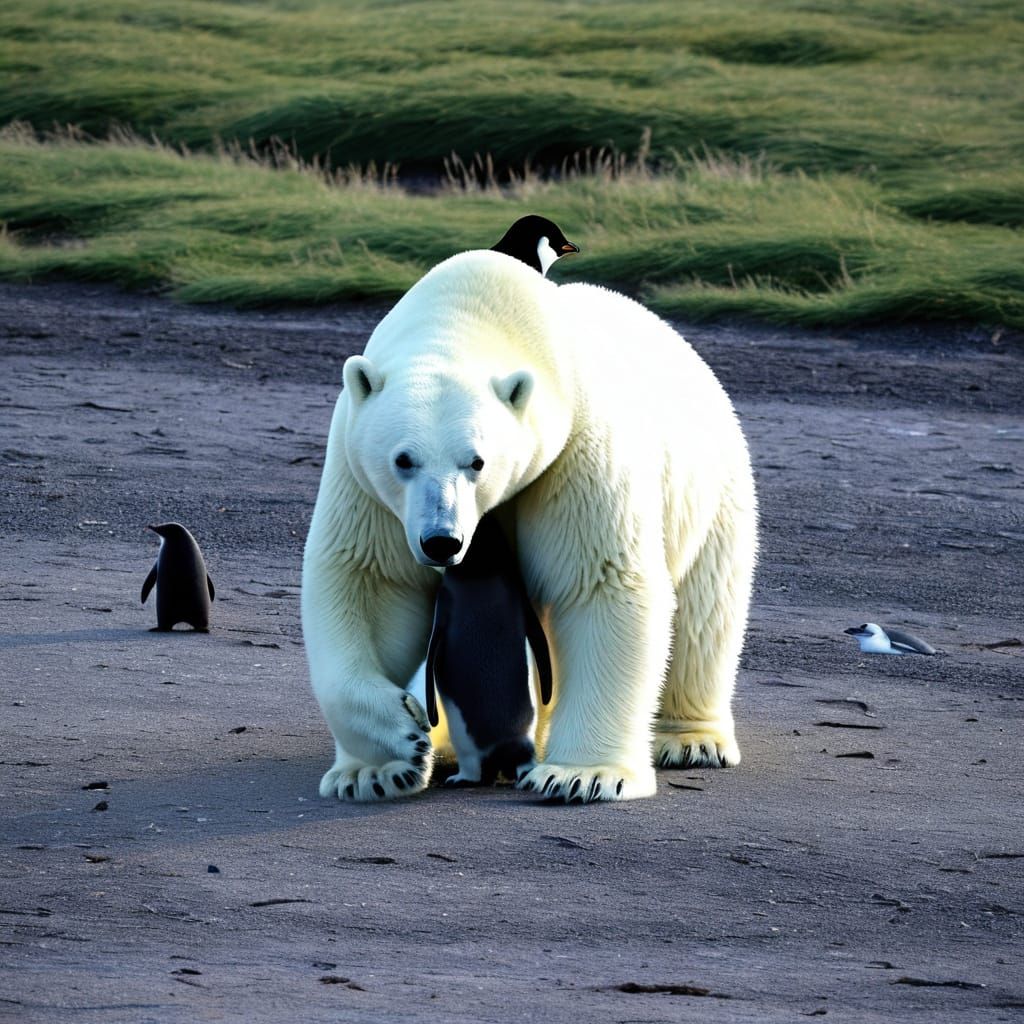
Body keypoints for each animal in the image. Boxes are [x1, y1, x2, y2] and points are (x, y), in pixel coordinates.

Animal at [301, 249, 757, 803]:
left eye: (476, 461)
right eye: (403, 459)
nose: (442, 541)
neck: (475, 314)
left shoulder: (575, 450)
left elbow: (598, 581)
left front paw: (583, 775)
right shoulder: (365, 480)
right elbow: (370, 584)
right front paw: (383, 764)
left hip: (712, 489)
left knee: (704, 613)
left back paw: (691, 740)